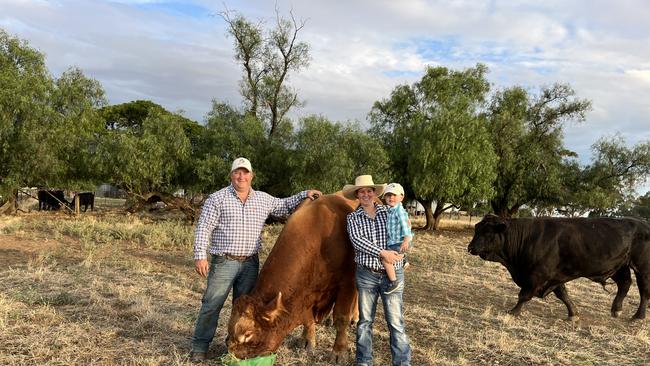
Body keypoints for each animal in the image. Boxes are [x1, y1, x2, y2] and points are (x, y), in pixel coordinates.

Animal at [227, 194, 360, 364]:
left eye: (248, 334)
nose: (231, 353)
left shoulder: (346, 282)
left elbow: (341, 318)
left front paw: (339, 352)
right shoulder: (305, 293)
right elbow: (308, 318)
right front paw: (307, 340)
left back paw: (355, 317)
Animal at [468, 216, 650, 318]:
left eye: (487, 232)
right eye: (477, 228)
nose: (470, 248)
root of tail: (643, 223)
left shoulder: (538, 275)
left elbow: (524, 295)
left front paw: (513, 311)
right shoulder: (555, 276)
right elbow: (563, 294)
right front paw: (573, 313)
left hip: (642, 268)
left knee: (644, 291)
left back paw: (638, 315)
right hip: (620, 266)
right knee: (625, 284)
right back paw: (616, 309)